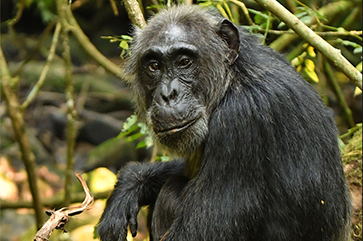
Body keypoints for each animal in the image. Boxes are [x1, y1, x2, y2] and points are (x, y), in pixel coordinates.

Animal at [97, 4, 352, 241]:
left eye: (184, 62)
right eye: (154, 66)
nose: (168, 95)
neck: (230, 81)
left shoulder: (240, 121)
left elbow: (196, 232)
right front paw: (130, 185)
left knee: (170, 191)